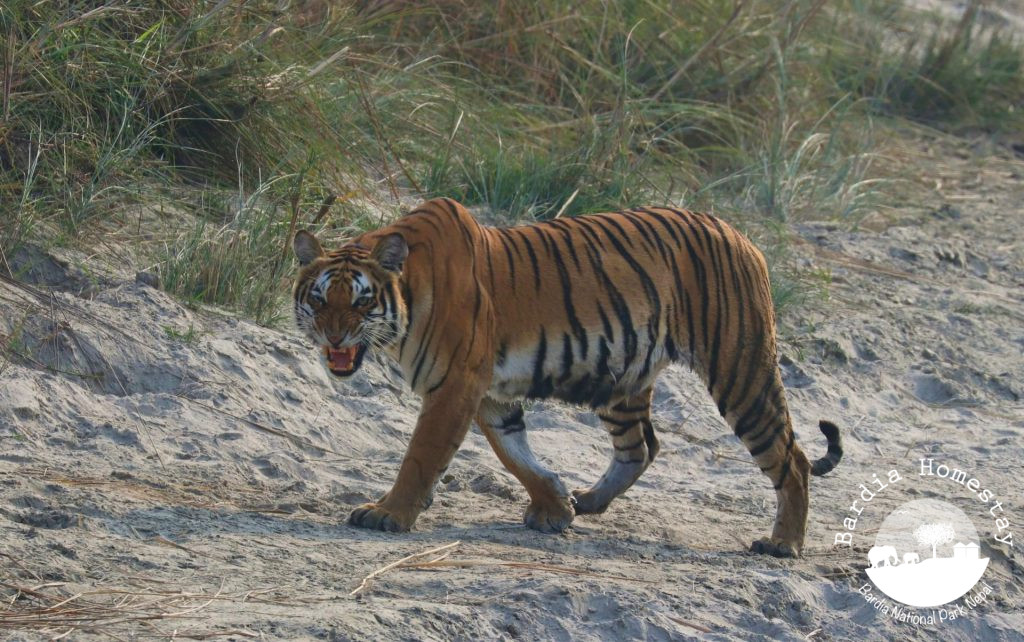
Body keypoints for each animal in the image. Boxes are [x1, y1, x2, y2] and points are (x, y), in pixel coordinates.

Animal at [291, 197, 842, 557]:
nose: (334, 337)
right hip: (622, 379)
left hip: (739, 371)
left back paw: (783, 544)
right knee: (641, 447)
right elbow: (515, 455)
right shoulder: (488, 394)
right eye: (319, 299)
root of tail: (739, 233)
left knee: (791, 459)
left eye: (360, 301)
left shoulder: (456, 385)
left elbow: (422, 456)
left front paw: (389, 514)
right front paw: (555, 507)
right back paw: (591, 500)